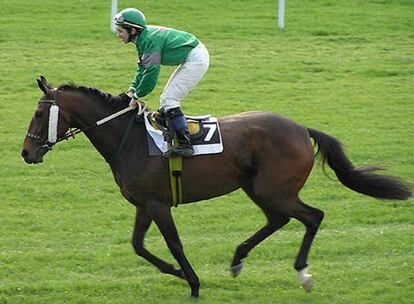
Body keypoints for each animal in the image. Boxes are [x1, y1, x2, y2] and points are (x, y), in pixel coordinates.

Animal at [21, 76, 410, 296]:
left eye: (39, 114)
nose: (26, 153)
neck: (130, 139)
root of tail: (302, 128)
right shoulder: (144, 204)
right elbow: (138, 246)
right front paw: (178, 273)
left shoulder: (158, 204)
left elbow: (174, 244)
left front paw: (192, 282)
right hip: (259, 189)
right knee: (279, 220)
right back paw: (238, 260)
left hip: (275, 190)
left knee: (312, 216)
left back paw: (303, 273)